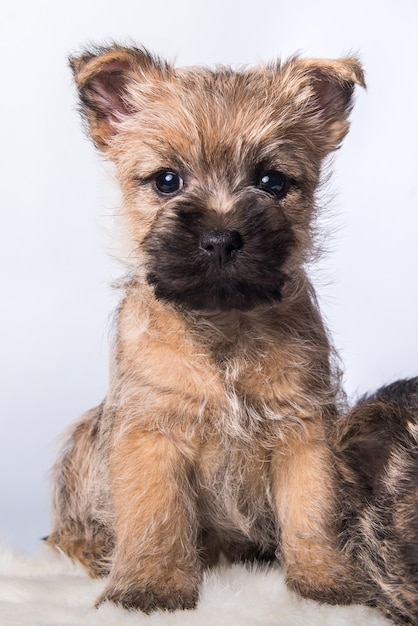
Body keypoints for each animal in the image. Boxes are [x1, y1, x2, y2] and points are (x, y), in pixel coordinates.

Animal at [46, 45, 366, 608]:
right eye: (166, 180)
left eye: (272, 182)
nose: (220, 238)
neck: (224, 328)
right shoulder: (151, 431)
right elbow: (155, 514)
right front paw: (150, 586)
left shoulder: (305, 431)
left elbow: (314, 511)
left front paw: (325, 580)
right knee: (68, 533)